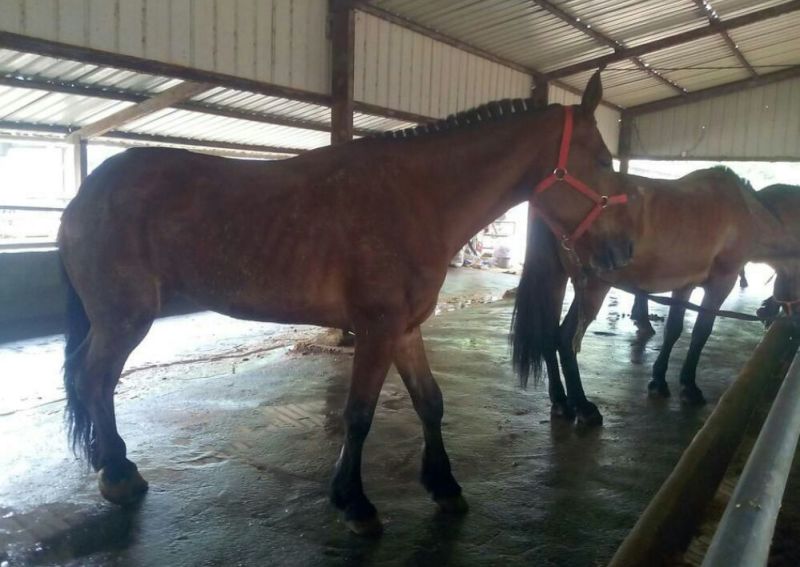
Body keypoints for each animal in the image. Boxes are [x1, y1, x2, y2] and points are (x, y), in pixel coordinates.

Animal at [58, 70, 636, 535]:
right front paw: (355, 503)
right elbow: (358, 415)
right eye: (603, 160)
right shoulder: (377, 330)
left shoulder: (405, 329)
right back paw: (118, 475)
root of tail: (84, 196)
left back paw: (112, 465)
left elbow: (431, 402)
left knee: (89, 381)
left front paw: (444, 486)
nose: (623, 252)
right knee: (95, 380)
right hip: (124, 320)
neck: (417, 198)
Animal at [511, 168, 797, 427]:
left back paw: (561, 402)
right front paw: (689, 386)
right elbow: (701, 333)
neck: (747, 211)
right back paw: (583, 407)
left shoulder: (684, 286)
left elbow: (674, 330)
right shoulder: (720, 284)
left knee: (547, 335)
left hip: (555, 280)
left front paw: (659, 381)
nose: (789, 328)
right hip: (593, 287)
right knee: (565, 338)